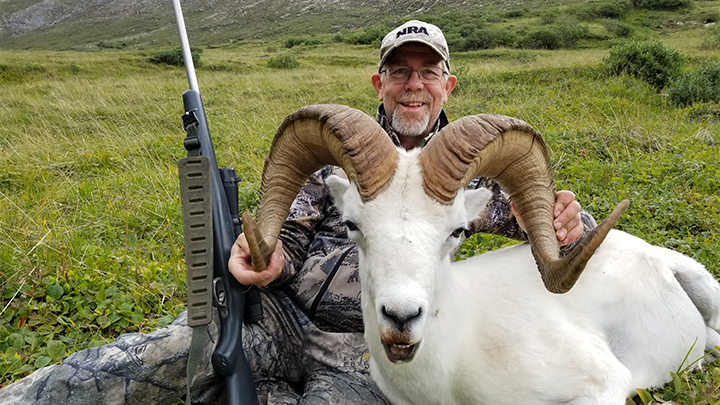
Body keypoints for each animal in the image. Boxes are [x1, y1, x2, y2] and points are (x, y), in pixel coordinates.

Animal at [243, 105, 720, 404]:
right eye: (352, 225)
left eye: (456, 231)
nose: (401, 318)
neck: (454, 365)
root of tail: (657, 258)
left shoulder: (603, 387)